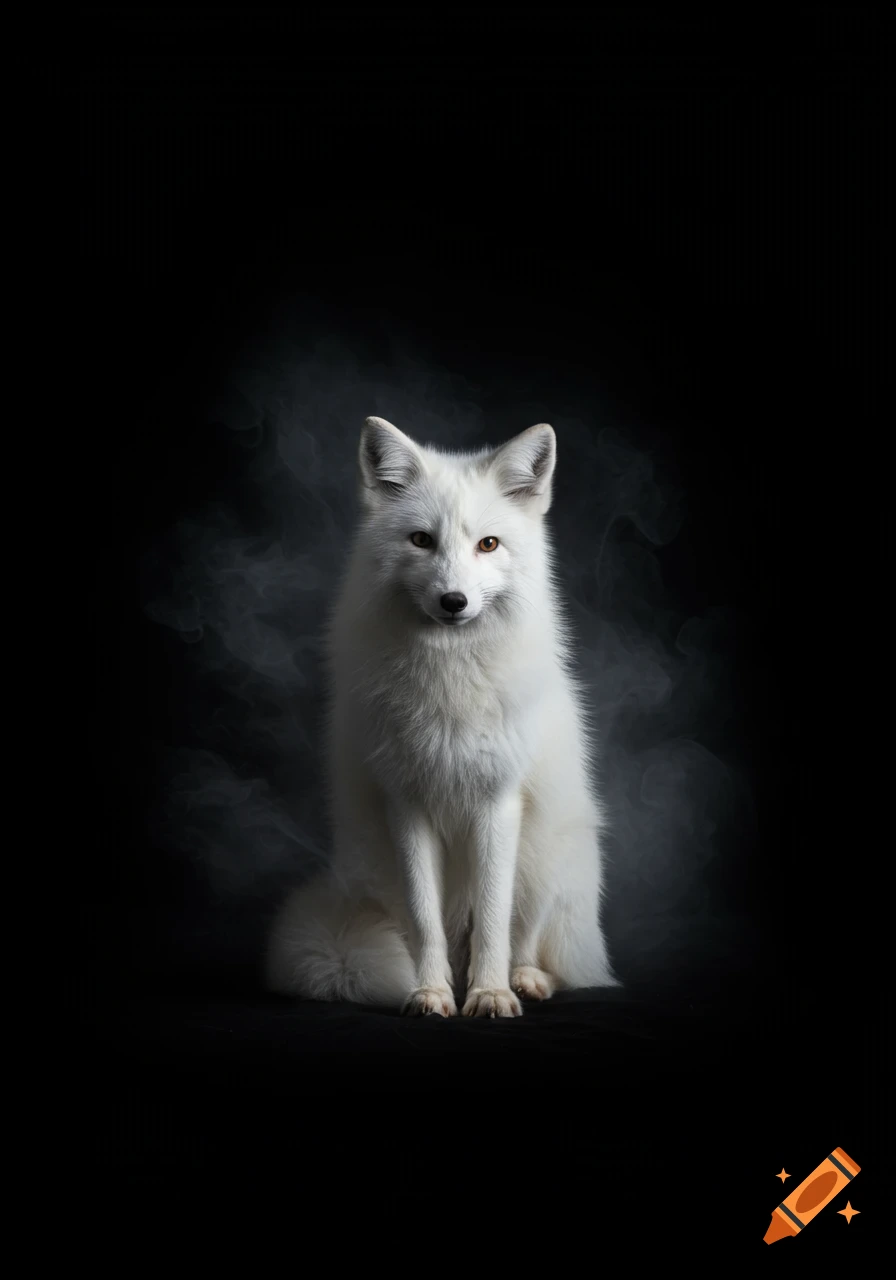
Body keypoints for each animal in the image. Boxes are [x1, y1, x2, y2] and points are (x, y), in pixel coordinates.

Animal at [265, 416, 619, 1016]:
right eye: (421, 540)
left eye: (488, 544)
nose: (453, 601)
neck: (450, 684)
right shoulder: (406, 805)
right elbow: (424, 920)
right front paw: (431, 993)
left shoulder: (498, 803)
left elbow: (493, 922)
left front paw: (490, 993)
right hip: (372, 863)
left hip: (543, 860)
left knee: (537, 949)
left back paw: (525, 979)